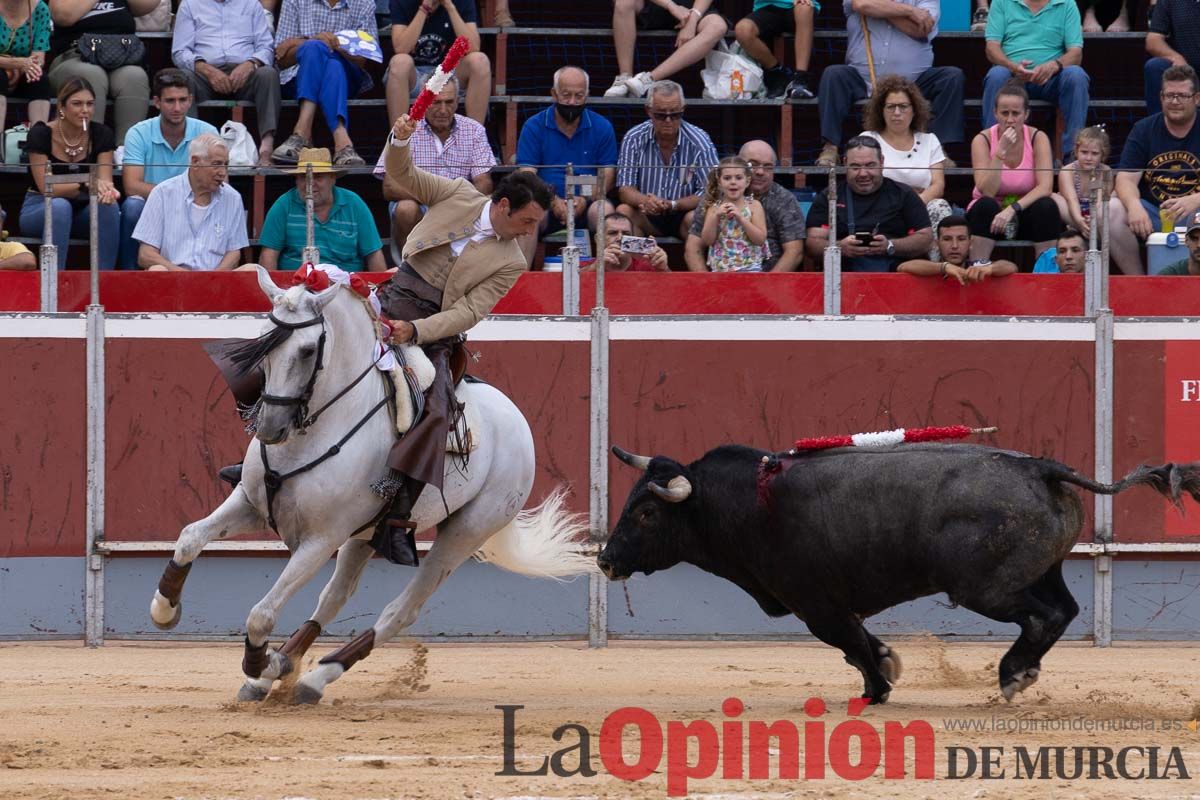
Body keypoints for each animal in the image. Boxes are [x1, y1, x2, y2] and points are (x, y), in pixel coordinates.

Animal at [150, 267, 595, 700]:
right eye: (264, 340)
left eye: (307, 351)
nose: (270, 428)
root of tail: (517, 420)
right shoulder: (250, 502)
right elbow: (190, 536)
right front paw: (164, 610)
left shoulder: (321, 540)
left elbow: (261, 614)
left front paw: (263, 663)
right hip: (366, 534)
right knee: (334, 596)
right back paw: (284, 669)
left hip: (465, 532)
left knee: (401, 610)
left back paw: (312, 678)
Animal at [600, 448, 1200, 705]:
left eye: (646, 513)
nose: (605, 560)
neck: (744, 502)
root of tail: (1039, 467)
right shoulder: (831, 603)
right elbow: (861, 641)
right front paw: (887, 669)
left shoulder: (815, 604)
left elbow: (850, 644)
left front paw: (875, 692)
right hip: (1043, 569)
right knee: (1064, 611)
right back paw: (1021, 672)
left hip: (984, 588)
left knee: (1044, 616)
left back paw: (1011, 675)